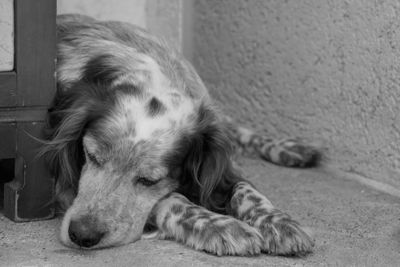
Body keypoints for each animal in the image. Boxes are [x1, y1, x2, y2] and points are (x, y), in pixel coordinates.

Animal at [43, 13, 320, 256]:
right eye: (91, 156)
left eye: (148, 180)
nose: (82, 235)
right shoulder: (59, 184)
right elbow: (171, 199)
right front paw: (220, 224)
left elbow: (244, 187)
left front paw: (279, 222)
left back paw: (291, 148)